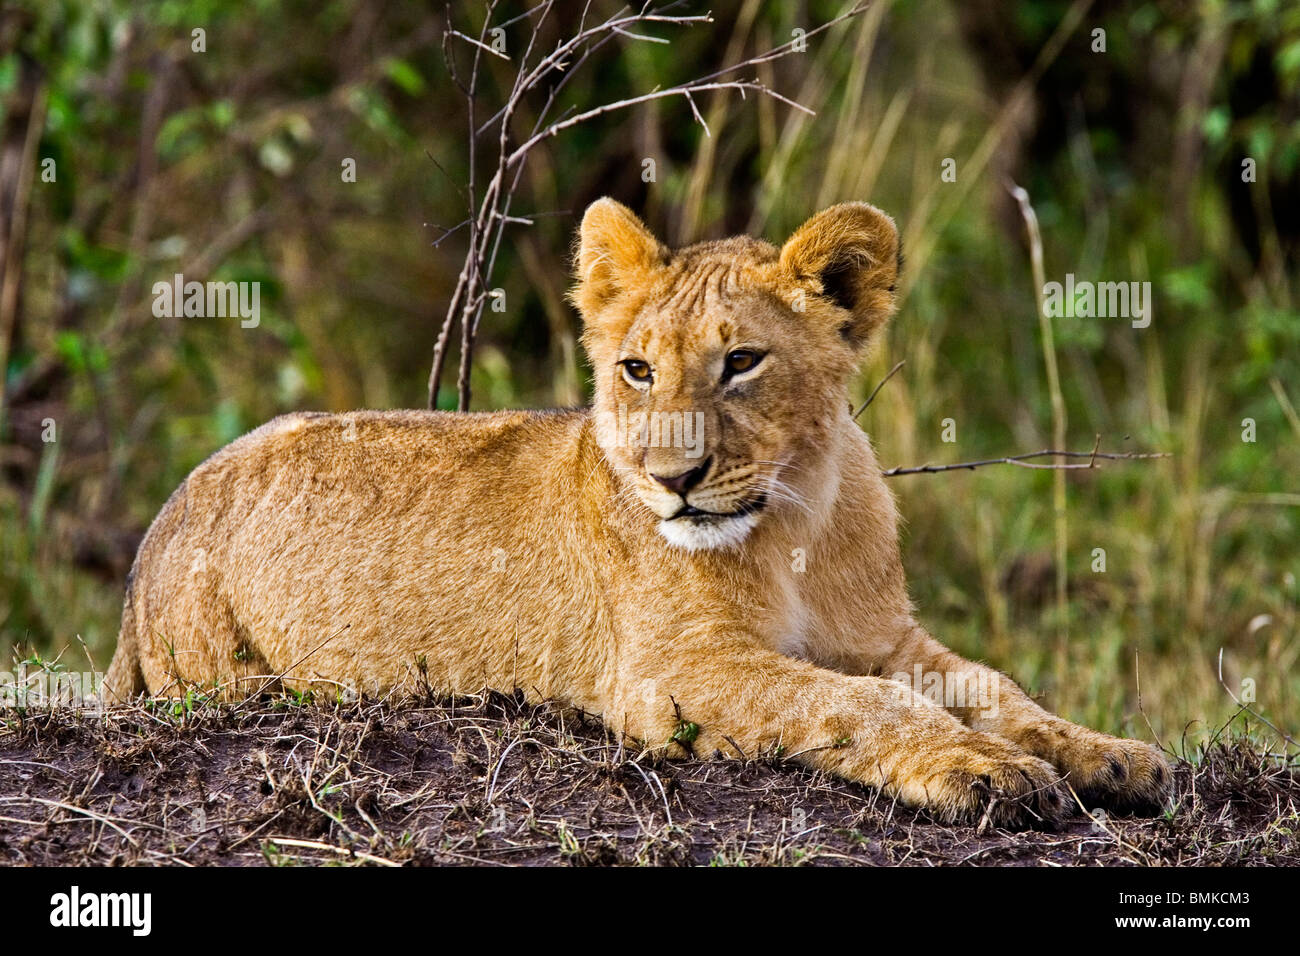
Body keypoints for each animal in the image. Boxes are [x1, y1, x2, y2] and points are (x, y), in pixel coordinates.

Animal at [103, 198, 1170, 826]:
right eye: (637, 370)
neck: (796, 523)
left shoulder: (885, 636)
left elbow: (996, 687)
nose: (675, 479)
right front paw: (987, 772)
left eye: (742, 362)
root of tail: (160, 526)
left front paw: (1113, 758)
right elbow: (861, 702)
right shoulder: (672, 674)